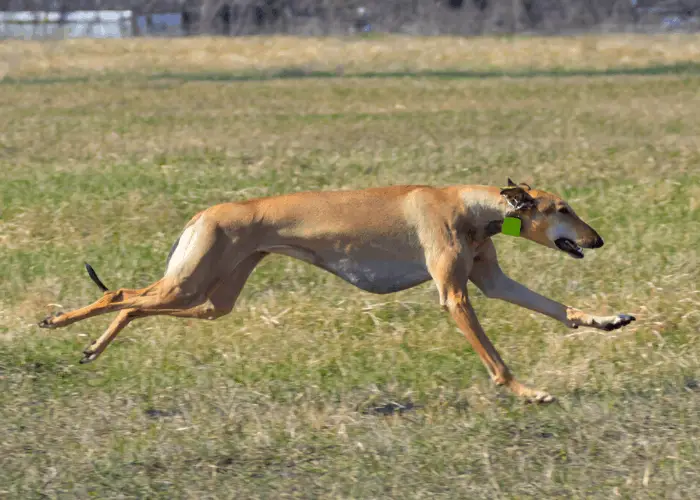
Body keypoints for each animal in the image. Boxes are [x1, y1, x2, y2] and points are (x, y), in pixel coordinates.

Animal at [41, 179, 636, 402]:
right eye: (562, 208)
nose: (597, 239)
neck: (469, 206)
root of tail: (204, 213)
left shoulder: (490, 280)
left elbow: (559, 309)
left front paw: (607, 320)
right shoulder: (456, 295)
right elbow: (496, 359)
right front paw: (528, 392)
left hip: (212, 299)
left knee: (134, 304)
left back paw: (90, 346)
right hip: (188, 284)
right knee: (118, 295)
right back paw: (60, 324)